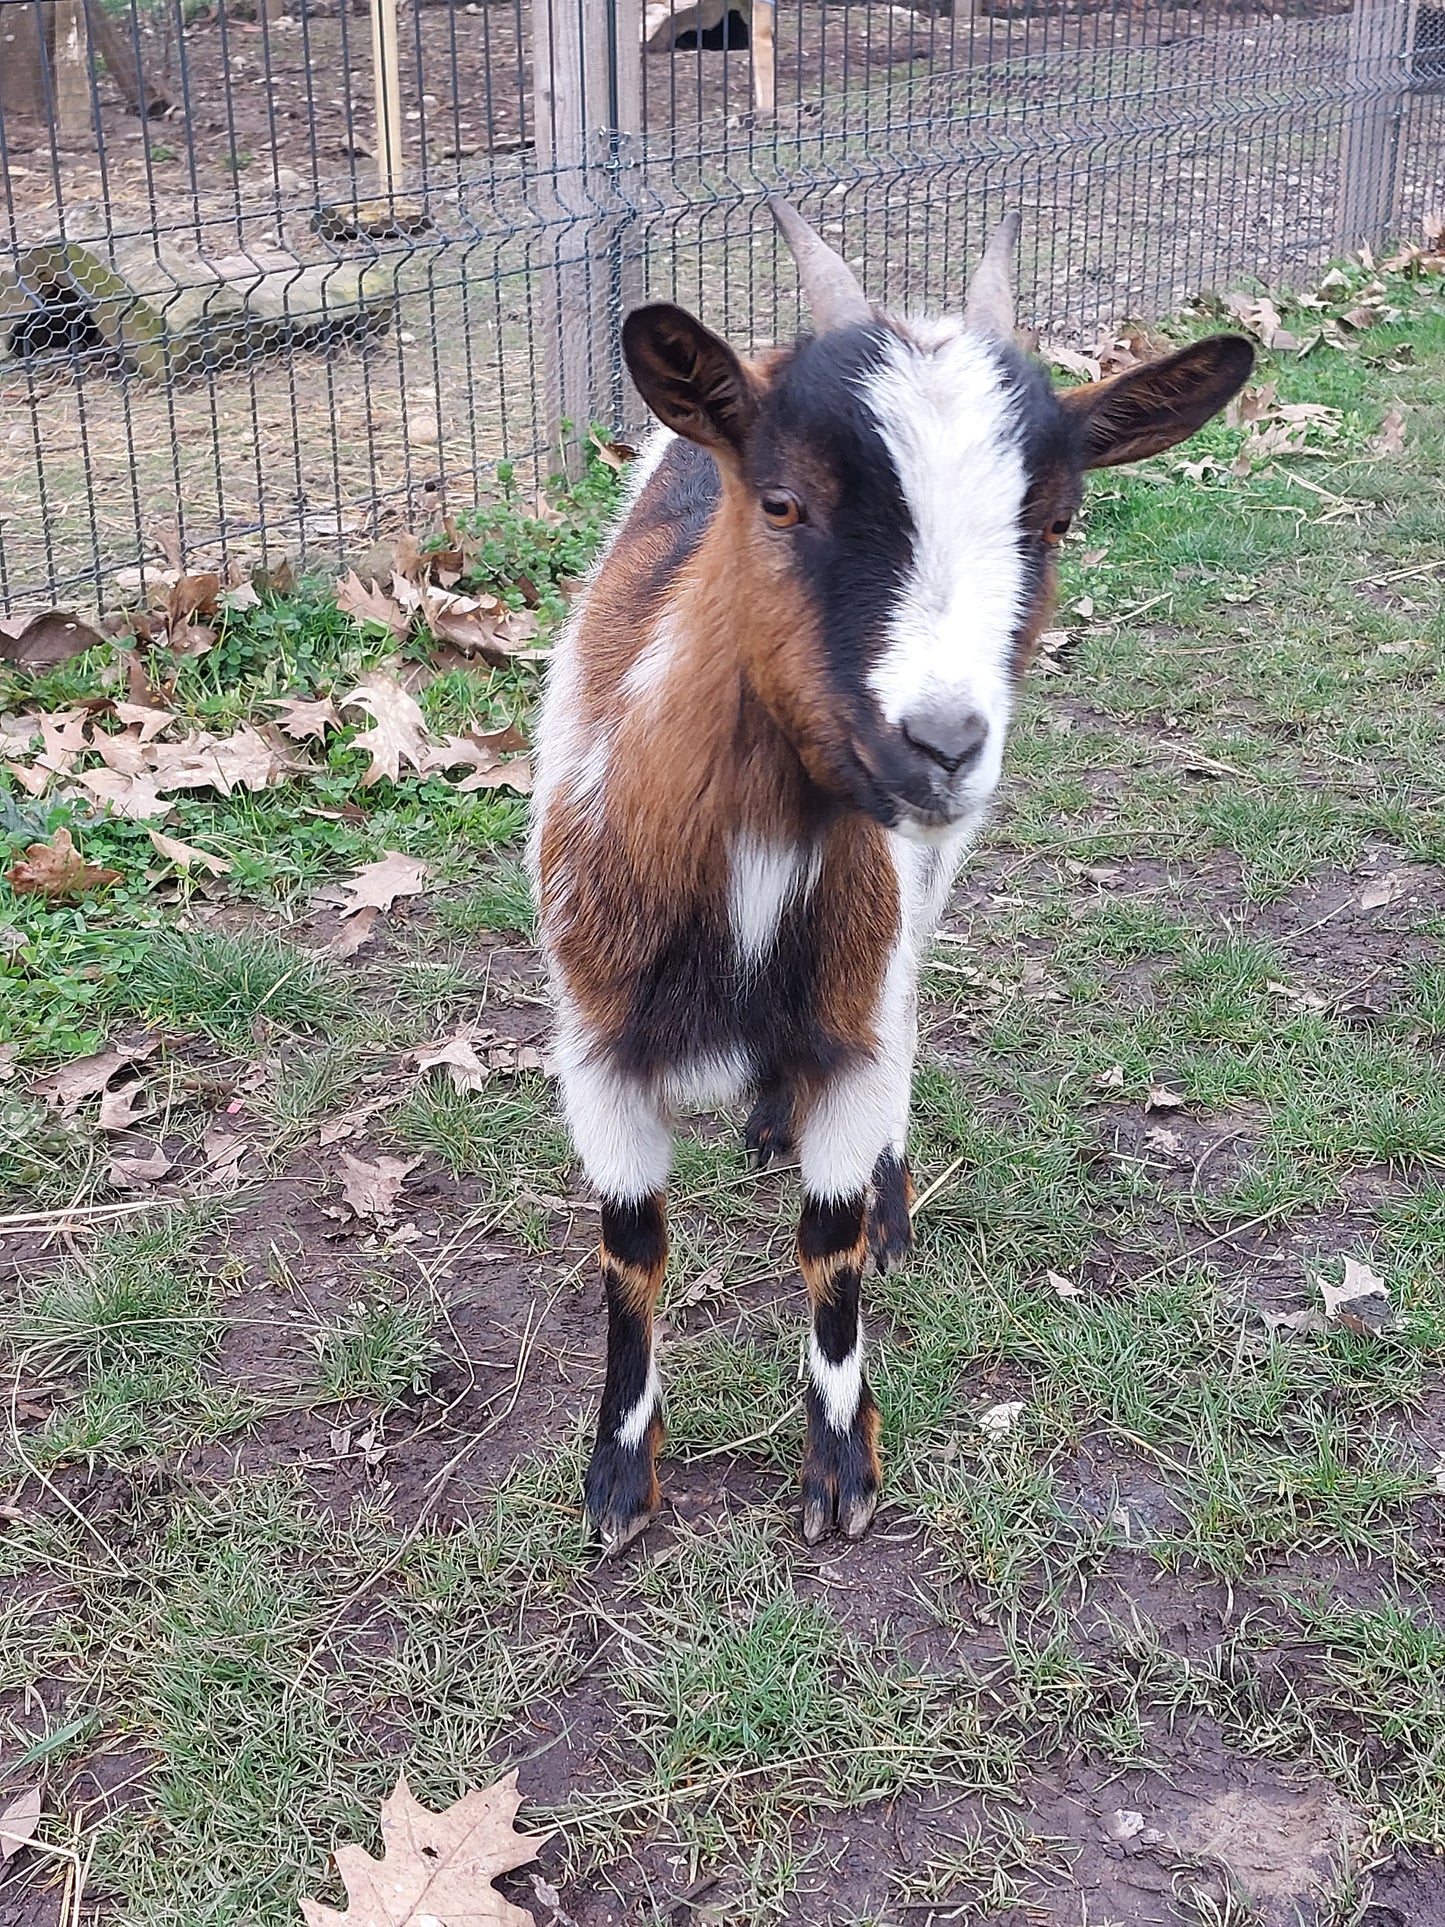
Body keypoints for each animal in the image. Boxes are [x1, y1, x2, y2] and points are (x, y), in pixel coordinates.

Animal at [531, 203, 1256, 1549]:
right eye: (779, 503)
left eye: (1053, 523)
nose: (941, 744)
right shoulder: (593, 1046)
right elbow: (629, 1248)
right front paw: (616, 1479)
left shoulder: (856, 1003)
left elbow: (827, 1244)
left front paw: (840, 1468)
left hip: (915, 898)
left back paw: (882, 1188)